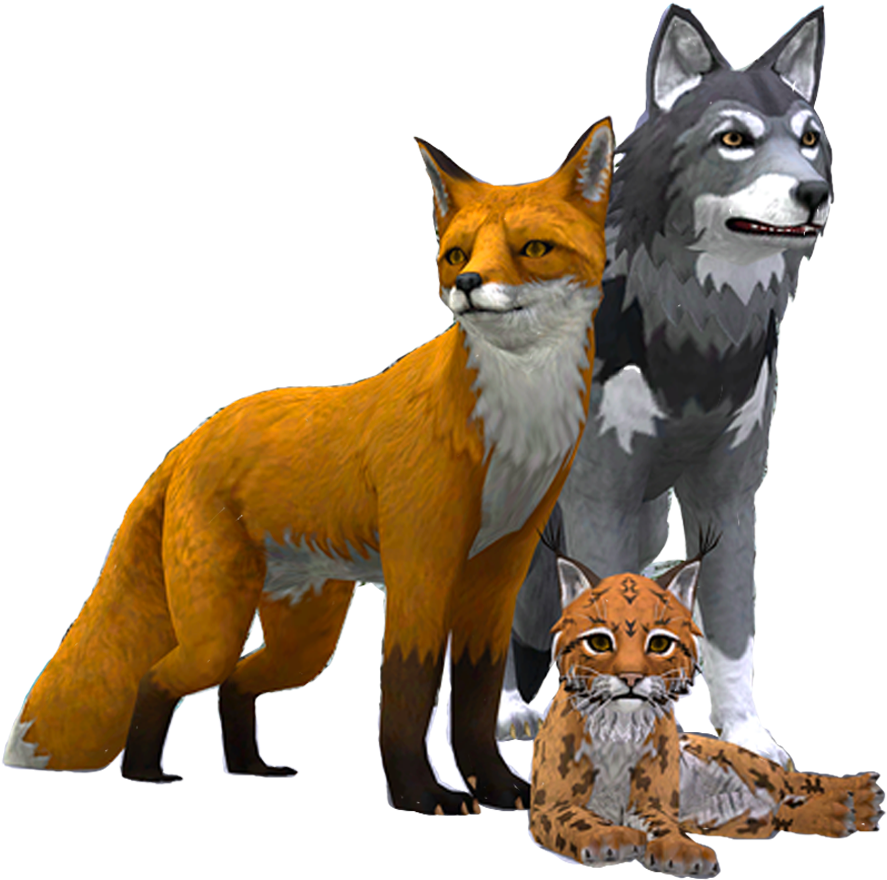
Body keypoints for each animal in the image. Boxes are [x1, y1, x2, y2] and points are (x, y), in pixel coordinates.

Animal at [3, 116, 615, 815]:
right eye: (457, 255)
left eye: (533, 248)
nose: (466, 285)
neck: (519, 427)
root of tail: (190, 440)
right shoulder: (422, 567)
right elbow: (406, 693)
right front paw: (418, 793)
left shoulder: (496, 576)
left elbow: (477, 700)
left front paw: (500, 789)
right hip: (220, 626)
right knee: (161, 679)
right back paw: (145, 774)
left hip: (306, 641)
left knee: (237, 684)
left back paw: (250, 768)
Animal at [497, 3, 832, 771]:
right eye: (733, 138)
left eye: (809, 139)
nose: (814, 191)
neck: (697, 329)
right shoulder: (602, 497)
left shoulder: (726, 494)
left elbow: (732, 630)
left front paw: (746, 738)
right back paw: (503, 713)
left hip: (646, 522)